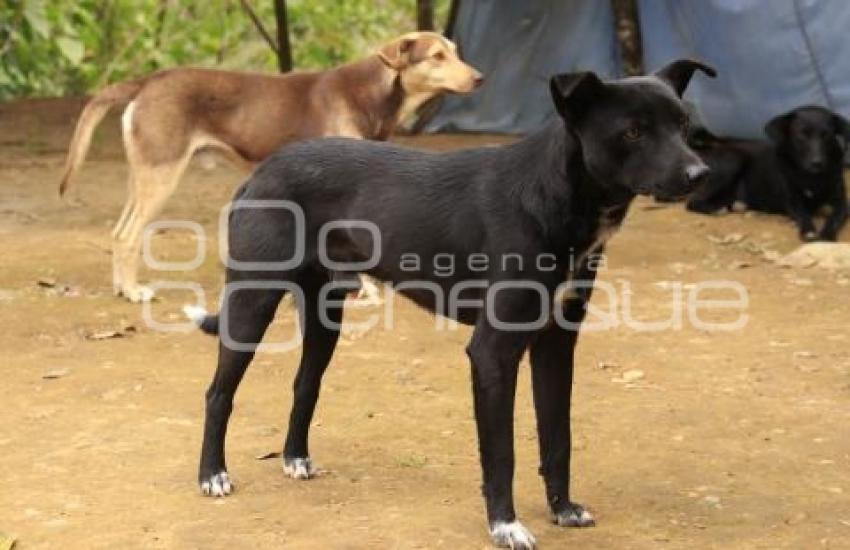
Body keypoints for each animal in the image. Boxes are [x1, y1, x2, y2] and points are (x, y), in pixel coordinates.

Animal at [60, 32, 480, 304]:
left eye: (456, 52)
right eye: (437, 57)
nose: (480, 78)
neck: (374, 93)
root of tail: (148, 81)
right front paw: (364, 290)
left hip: (144, 175)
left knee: (118, 233)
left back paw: (122, 287)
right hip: (161, 176)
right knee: (129, 235)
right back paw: (133, 292)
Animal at [189, 58, 712, 548]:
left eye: (683, 125)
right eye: (633, 131)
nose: (700, 174)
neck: (552, 196)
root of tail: (262, 171)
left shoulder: (556, 344)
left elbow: (557, 437)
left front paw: (562, 509)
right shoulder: (493, 352)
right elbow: (502, 453)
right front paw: (506, 526)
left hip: (325, 313)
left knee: (305, 384)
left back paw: (295, 458)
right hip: (252, 302)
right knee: (217, 394)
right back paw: (212, 475)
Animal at [684, 106, 844, 240]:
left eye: (827, 135)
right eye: (801, 136)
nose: (817, 163)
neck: (811, 176)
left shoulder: (841, 202)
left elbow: (835, 218)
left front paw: (827, 234)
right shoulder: (793, 201)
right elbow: (803, 214)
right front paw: (809, 231)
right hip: (732, 160)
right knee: (692, 202)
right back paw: (715, 210)